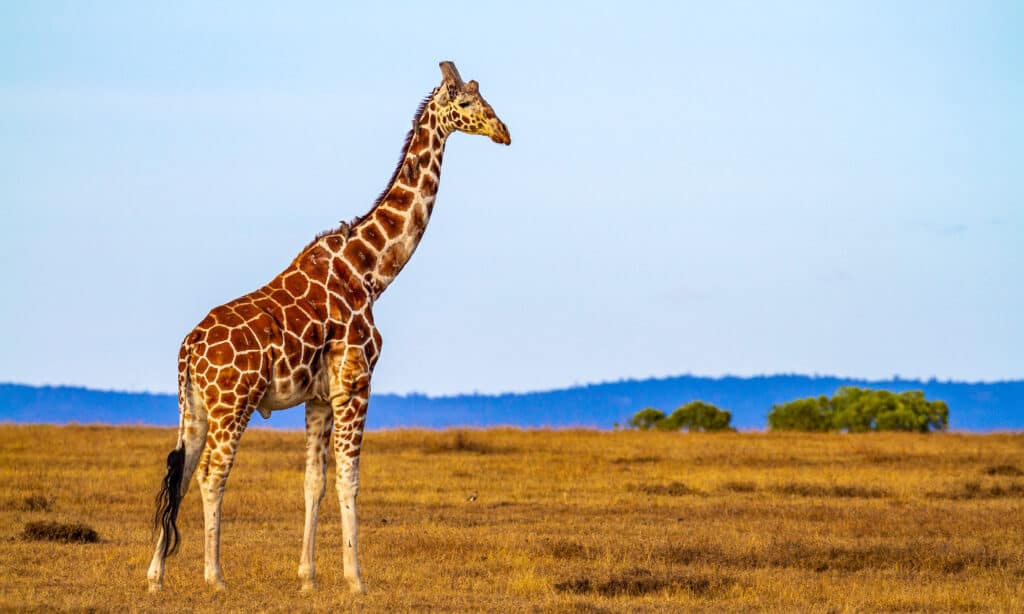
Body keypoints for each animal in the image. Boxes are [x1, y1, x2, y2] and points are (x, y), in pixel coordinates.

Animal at [147, 61, 510, 594]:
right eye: (465, 103)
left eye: (484, 98)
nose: (503, 131)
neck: (372, 270)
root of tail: (189, 348)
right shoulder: (355, 383)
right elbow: (349, 479)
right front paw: (356, 578)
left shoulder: (318, 396)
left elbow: (313, 483)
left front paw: (308, 577)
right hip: (232, 404)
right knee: (213, 474)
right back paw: (215, 577)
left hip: (192, 407)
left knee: (182, 469)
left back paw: (155, 575)